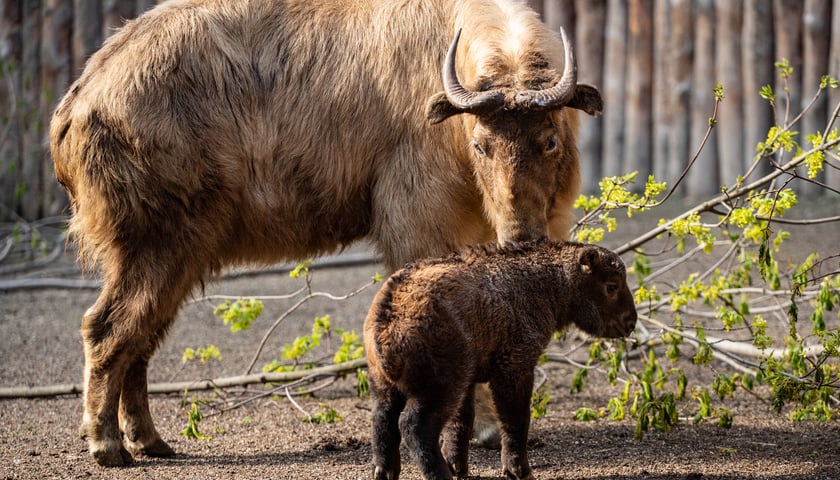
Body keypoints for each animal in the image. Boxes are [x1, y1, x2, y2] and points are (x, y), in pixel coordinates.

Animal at [362, 242, 636, 480]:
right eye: (611, 286)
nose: (630, 322)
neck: (546, 284)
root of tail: (389, 316)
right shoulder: (514, 369)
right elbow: (516, 420)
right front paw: (518, 470)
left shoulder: (469, 379)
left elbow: (462, 422)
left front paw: (458, 467)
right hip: (439, 387)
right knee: (414, 426)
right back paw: (439, 474)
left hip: (386, 385)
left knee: (382, 419)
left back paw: (385, 472)